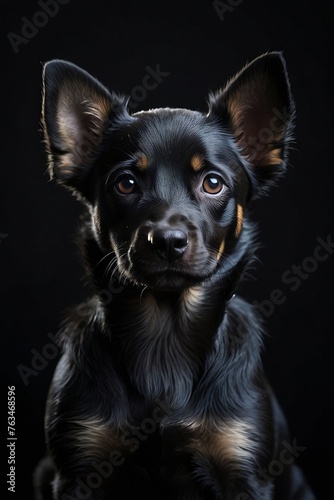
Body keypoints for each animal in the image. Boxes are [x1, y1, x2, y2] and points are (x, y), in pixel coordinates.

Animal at [36, 52, 316, 498]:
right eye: (125, 183)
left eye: (213, 183)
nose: (167, 240)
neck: (165, 334)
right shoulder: (79, 470)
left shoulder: (243, 472)